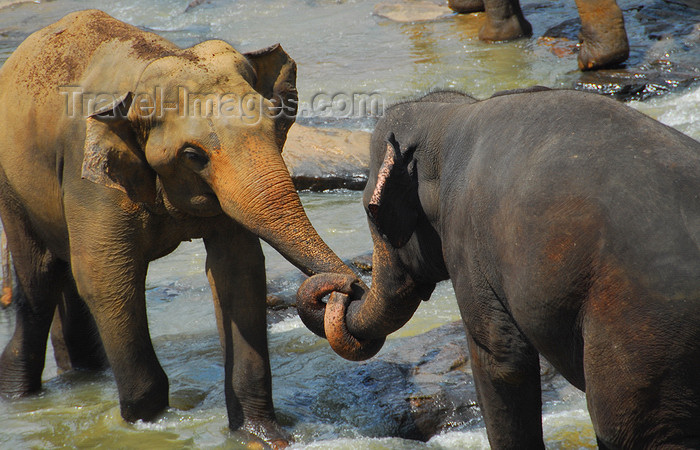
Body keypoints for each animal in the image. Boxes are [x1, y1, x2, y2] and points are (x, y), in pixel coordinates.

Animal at [0, 9, 360, 446]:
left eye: (275, 129)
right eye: (192, 155)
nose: (351, 286)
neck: (150, 65)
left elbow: (238, 270)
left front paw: (263, 436)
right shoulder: (91, 180)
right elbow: (106, 278)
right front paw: (147, 424)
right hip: (12, 188)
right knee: (39, 280)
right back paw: (19, 396)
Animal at [300, 89, 700, 450]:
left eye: (371, 212)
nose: (343, 288)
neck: (450, 116)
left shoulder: (468, 244)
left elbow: (500, 358)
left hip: (645, 325)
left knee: (624, 426)